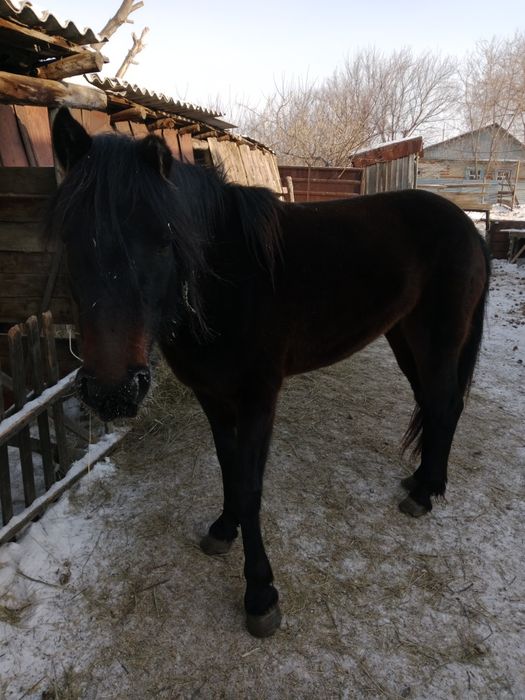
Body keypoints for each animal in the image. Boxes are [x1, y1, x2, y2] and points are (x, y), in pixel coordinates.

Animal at [49, 108, 490, 637]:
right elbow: (229, 467)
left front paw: (260, 594)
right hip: (404, 337)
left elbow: (251, 485)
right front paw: (223, 529)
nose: (113, 392)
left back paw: (425, 493)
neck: (227, 279)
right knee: (434, 403)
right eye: (68, 236)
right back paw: (421, 481)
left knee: (444, 404)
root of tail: (468, 226)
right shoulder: (212, 396)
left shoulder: (259, 396)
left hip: (437, 339)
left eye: (162, 239)